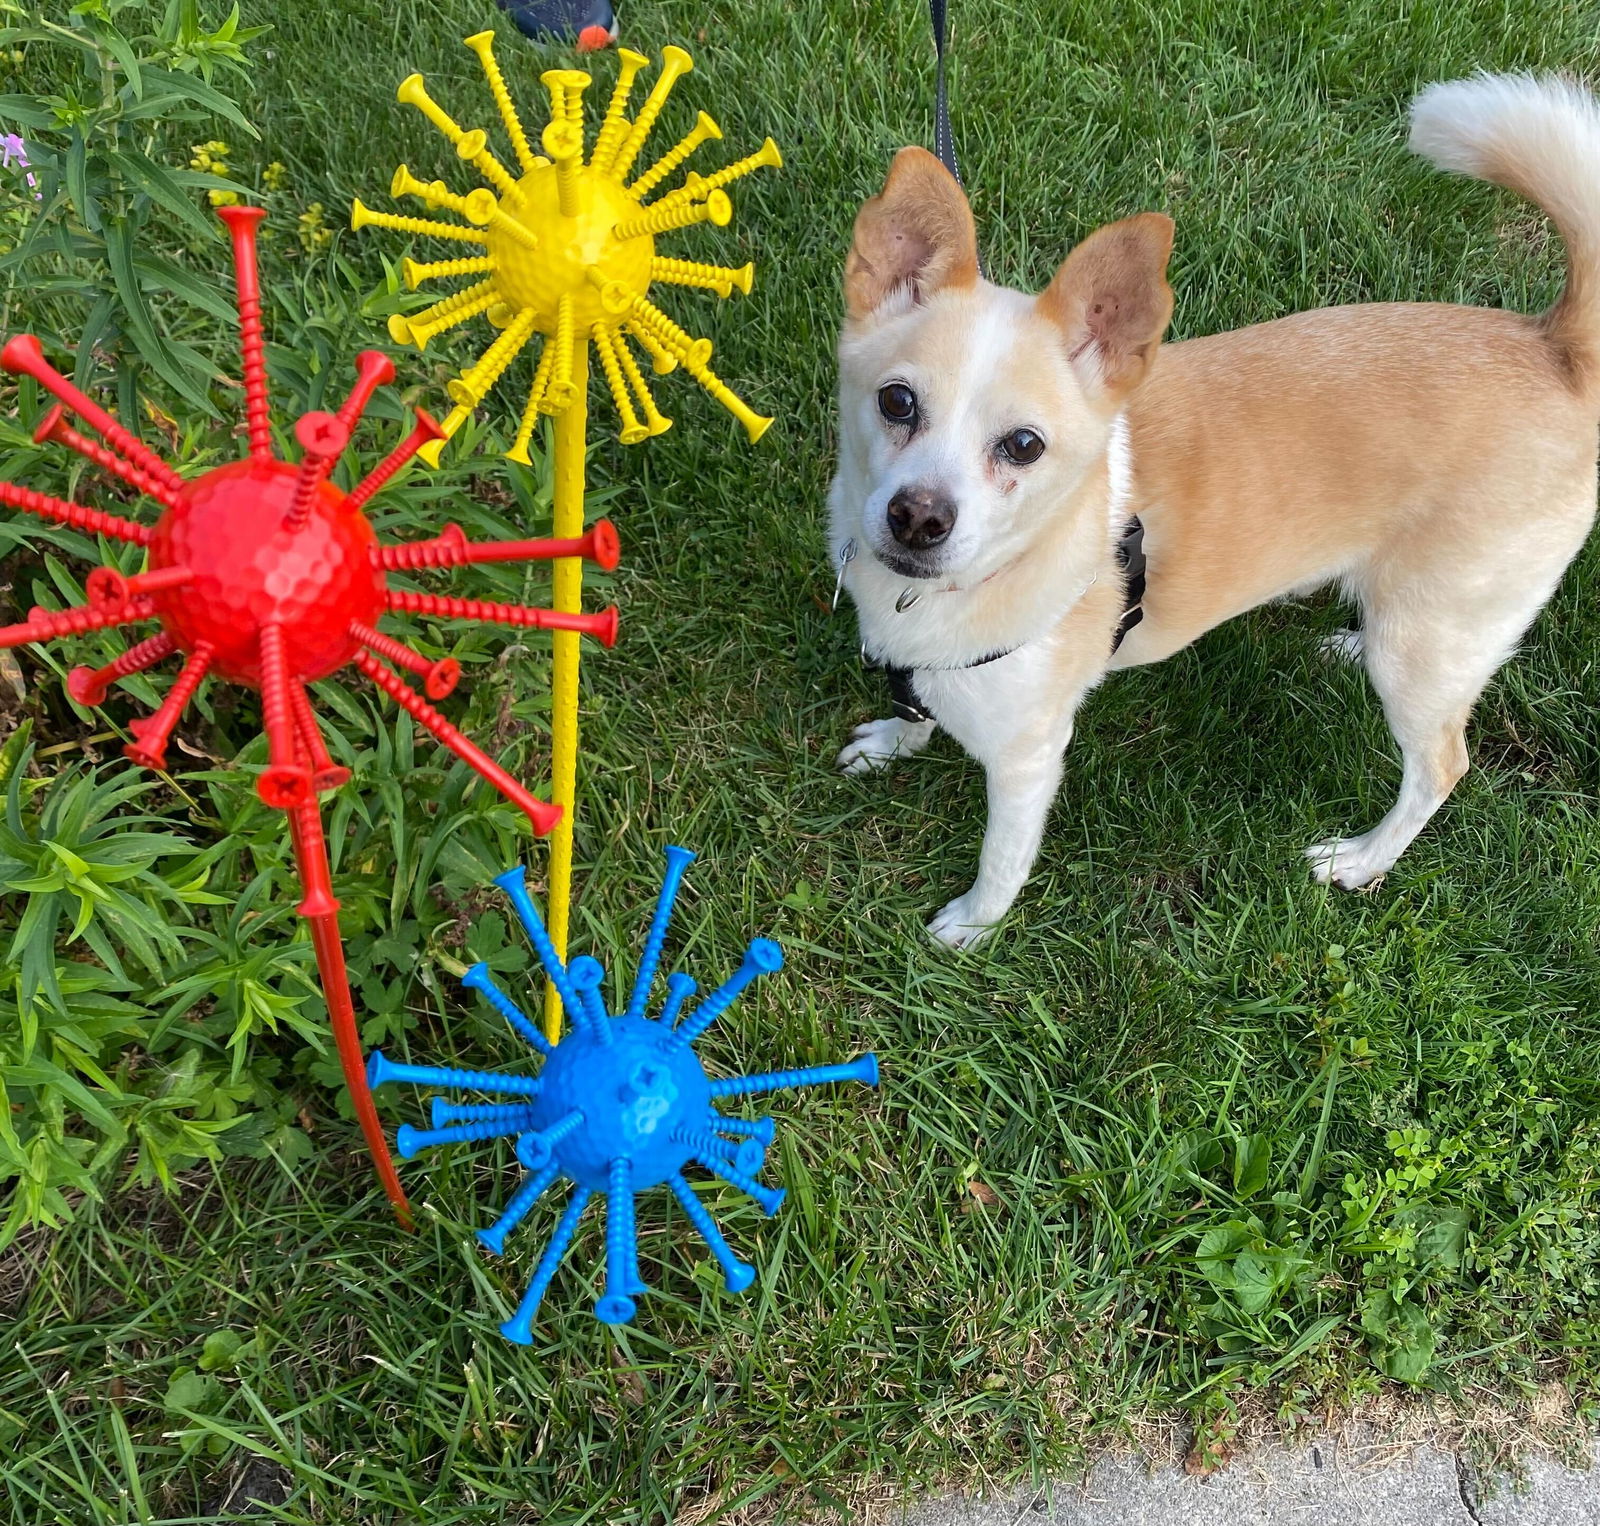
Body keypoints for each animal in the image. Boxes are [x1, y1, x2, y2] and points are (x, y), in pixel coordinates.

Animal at [832, 77, 1600, 946]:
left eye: (1024, 446)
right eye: (897, 402)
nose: (919, 518)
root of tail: (1556, 346)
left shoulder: (1028, 760)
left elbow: (1003, 860)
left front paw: (972, 927)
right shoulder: (921, 663)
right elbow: (915, 702)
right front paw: (894, 741)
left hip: (1428, 650)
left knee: (1440, 765)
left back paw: (1364, 860)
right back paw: (1348, 643)